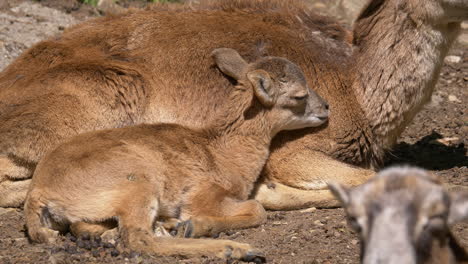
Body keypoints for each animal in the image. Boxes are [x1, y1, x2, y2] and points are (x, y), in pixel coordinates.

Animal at [22, 48, 330, 260]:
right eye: (300, 96)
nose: (326, 108)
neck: (224, 151)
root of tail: (39, 192)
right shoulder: (203, 196)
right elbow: (258, 209)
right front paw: (193, 225)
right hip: (137, 185)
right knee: (137, 240)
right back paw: (235, 249)